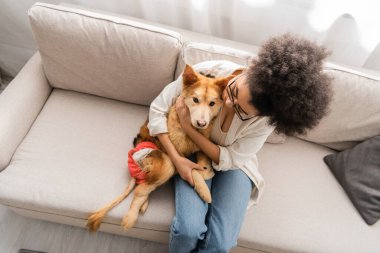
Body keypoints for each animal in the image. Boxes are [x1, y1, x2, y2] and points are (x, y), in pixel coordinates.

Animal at [87, 64, 239, 232]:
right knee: (140, 190)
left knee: (145, 185)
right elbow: (192, 169)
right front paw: (204, 189)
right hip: (166, 163)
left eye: (212, 103)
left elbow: (202, 163)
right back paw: (130, 218)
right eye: (195, 100)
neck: (190, 129)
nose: (201, 123)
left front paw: (206, 170)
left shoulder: (202, 145)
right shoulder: (175, 152)